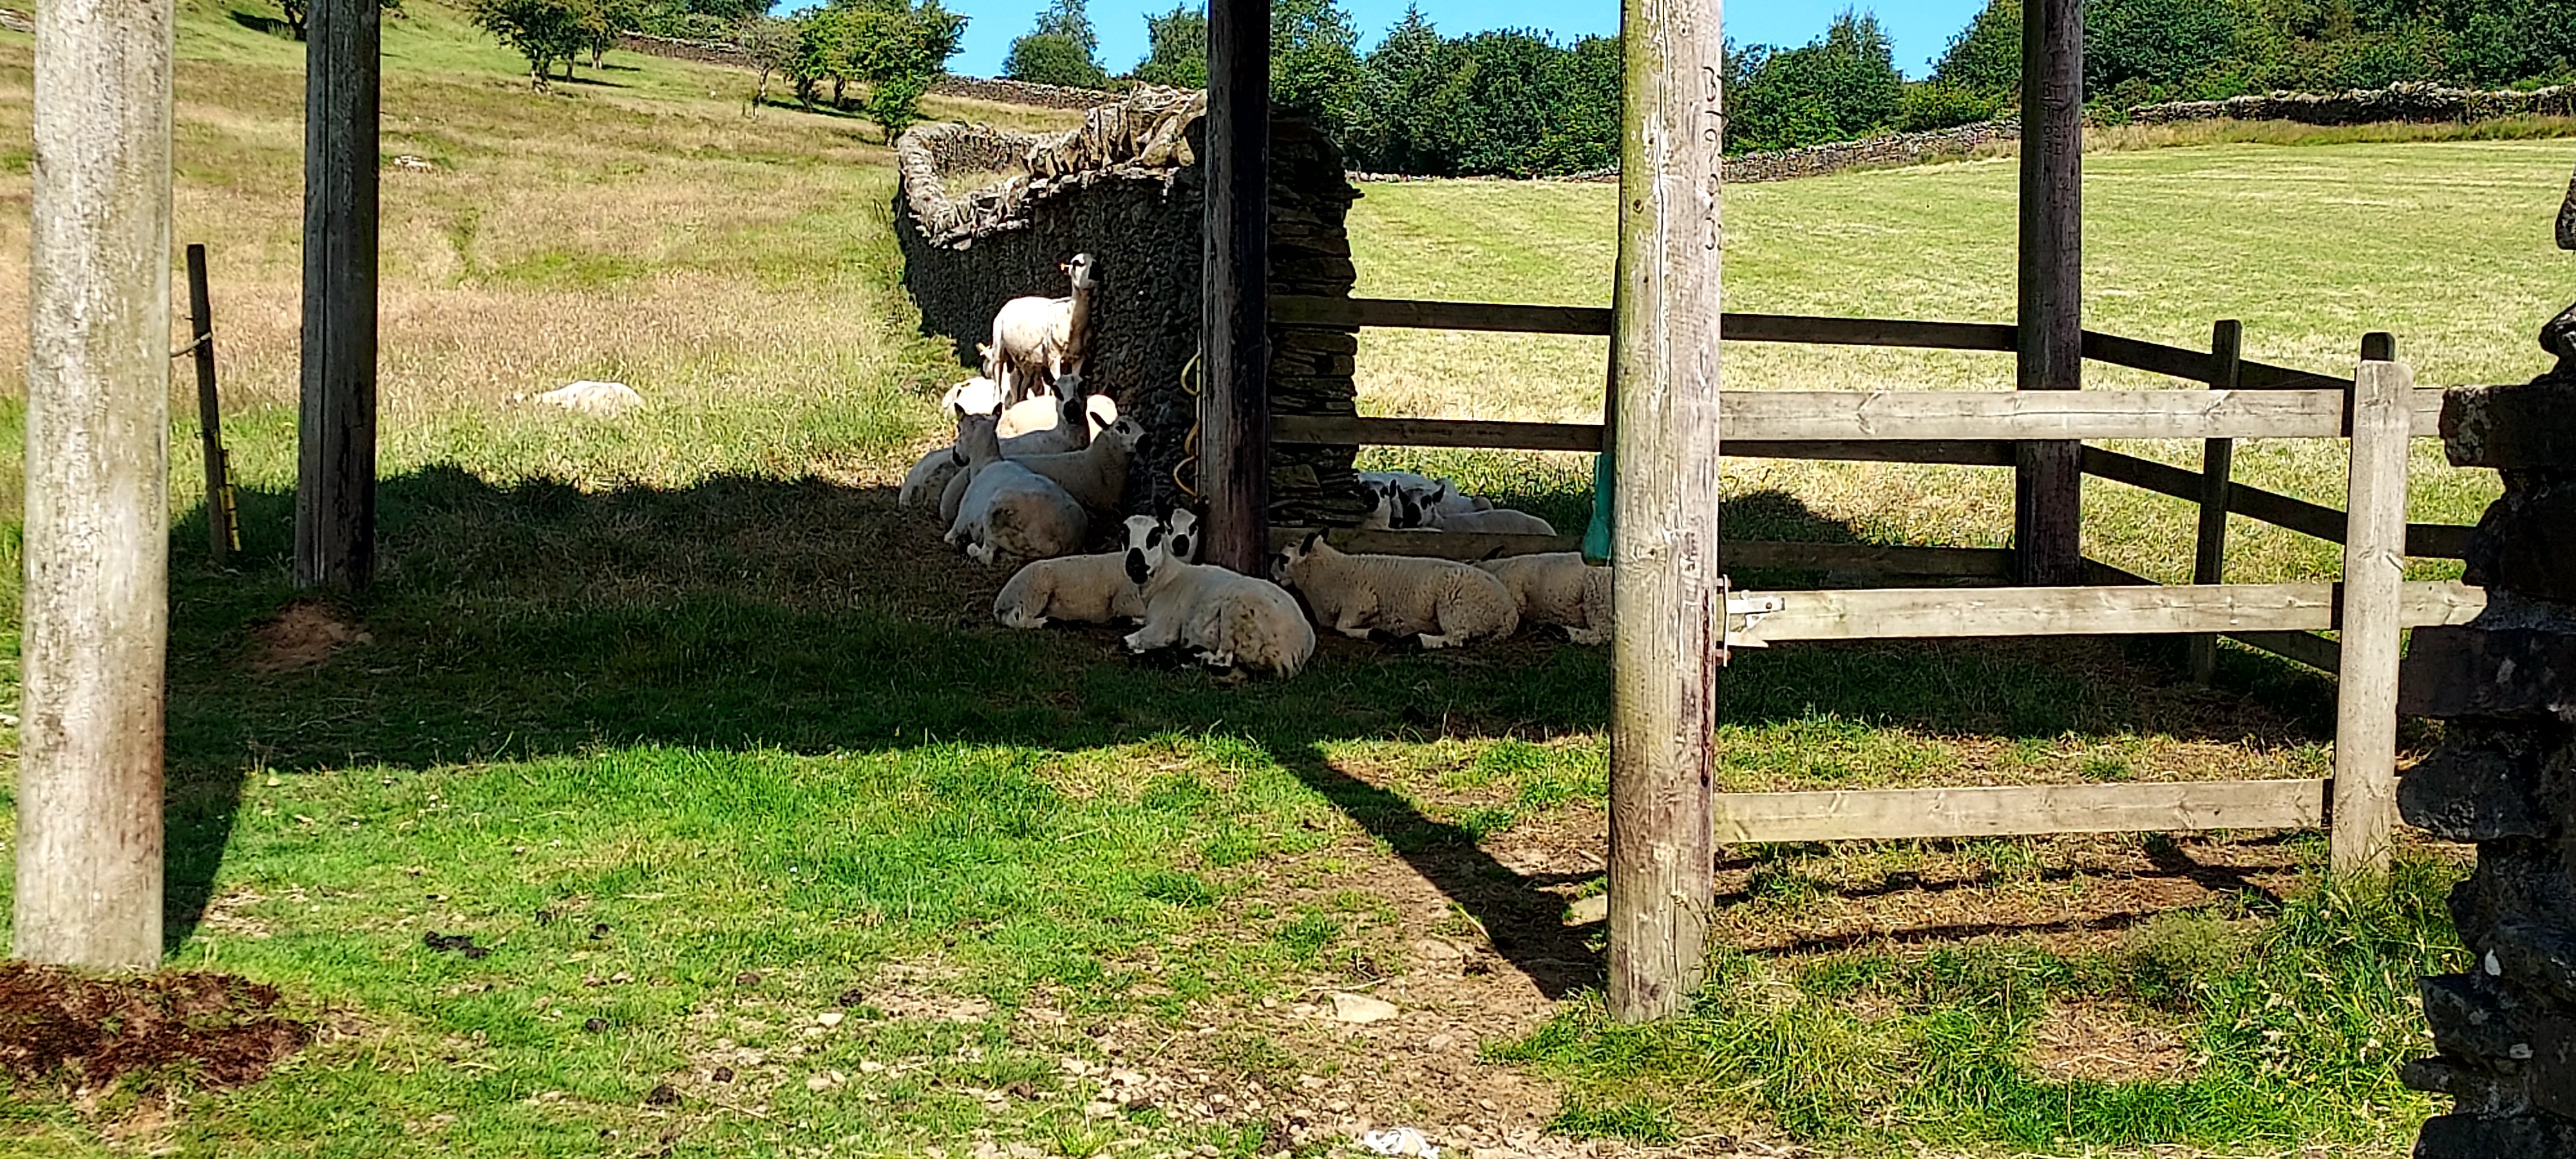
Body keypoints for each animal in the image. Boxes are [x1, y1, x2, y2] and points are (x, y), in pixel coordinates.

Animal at [943, 411, 1089, 565]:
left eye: (959, 428)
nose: (955, 455)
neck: (984, 463)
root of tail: (1063, 543)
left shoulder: (960, 522)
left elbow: (949, 537)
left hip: (995, 514)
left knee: (987, 555)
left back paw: (970, 548)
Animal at [989, 253, 1096, 401]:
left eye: (1096, 262)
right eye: (1077, 264)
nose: (1096, 273)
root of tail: (1009, 303)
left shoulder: (1079, 357)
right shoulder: (1054, 358)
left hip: (1027, 361)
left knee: (1022, 386)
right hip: (998, 351)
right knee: (997, 388)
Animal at [1122, 514, 1315, 678]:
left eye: (1155, 537)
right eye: (1124, 535)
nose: (1134, 565)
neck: (1166, 578)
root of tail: (1295, 653)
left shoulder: (1163, 629)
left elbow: (1125, 642)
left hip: (1235, 612)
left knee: (1223, 662)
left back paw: (1191, 656)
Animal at [1271, 532, 1520, 649]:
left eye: (1283, 559)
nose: (1272, 576)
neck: (1331, 572)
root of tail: (1509, 611)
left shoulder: (1362, 602)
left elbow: (1342, 627)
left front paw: (1376, 633)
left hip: (1454, 607)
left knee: (1456, 639)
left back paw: (1416, 640)